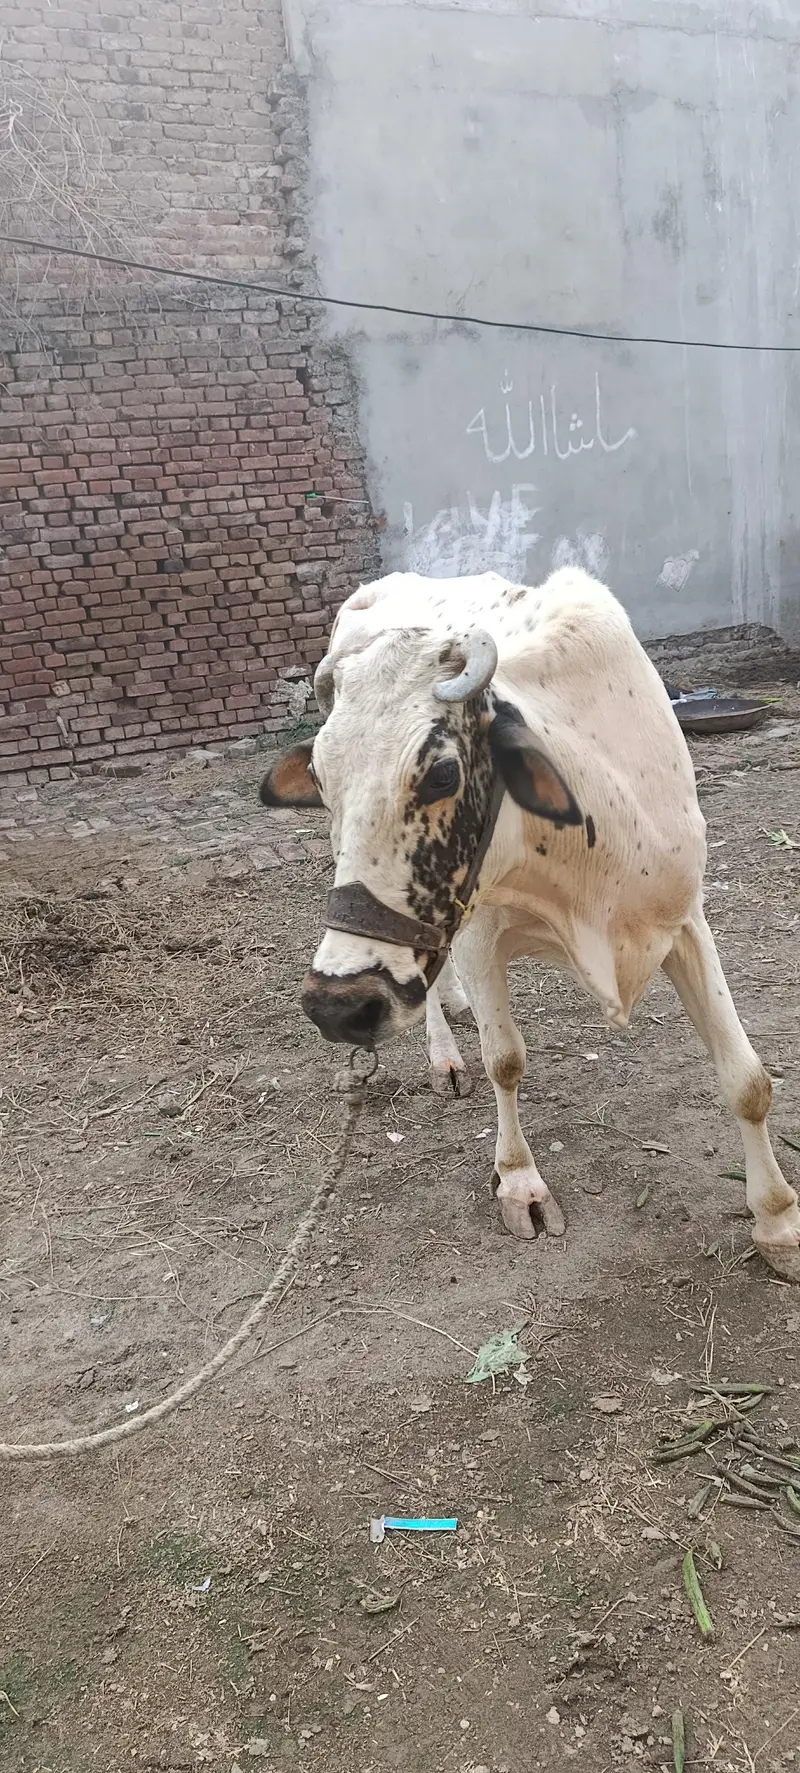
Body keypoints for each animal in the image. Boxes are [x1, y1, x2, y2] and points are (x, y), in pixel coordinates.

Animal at [261, 567, 800, 1282]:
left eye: (443, 773)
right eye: (322, 779)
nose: (338, 1006)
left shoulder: (685, 919)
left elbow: (748, 1080)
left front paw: (779, 1221)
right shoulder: (477, 933)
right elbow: (506, 1061)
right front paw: (520, 1183)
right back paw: (444, 1055)